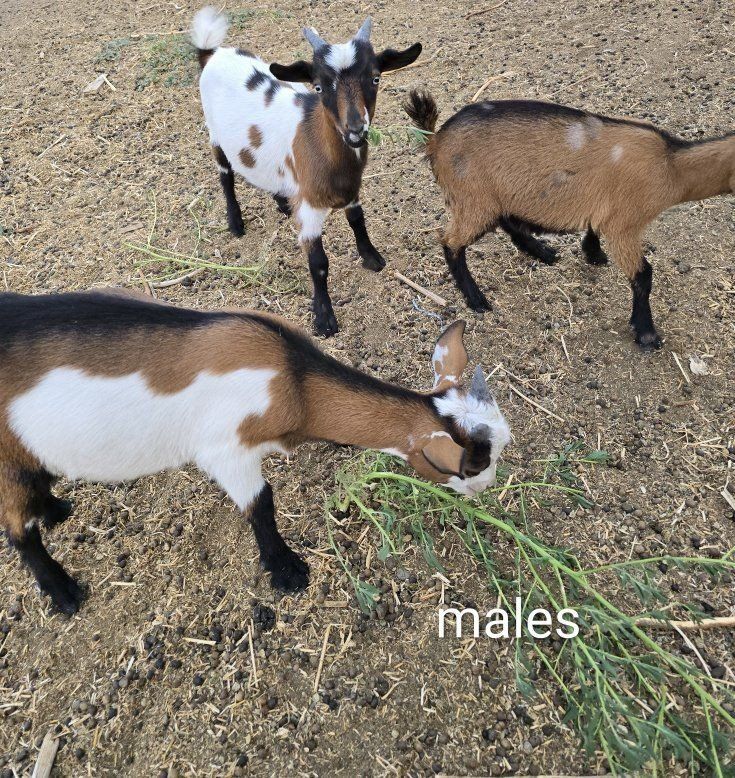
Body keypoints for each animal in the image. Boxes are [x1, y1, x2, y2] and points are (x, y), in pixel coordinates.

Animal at [0, 290, 510, 615]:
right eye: (472, 465)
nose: (488, 488)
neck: (295, 381)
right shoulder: (227, 449)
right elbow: (261, 505)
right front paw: (286, 571)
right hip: (8, 458)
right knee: (16, 529)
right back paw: (63, 591)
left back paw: (54, 509)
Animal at [191, 7, 422, 337]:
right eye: (319, 86)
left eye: (375, 78)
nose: (355, 129)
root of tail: (213, 53)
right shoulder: (312, 207)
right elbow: (319, 263)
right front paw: (324, 319)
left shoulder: (351, 190)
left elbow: (357, 220)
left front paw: (372, 257)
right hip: (215, 135)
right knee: (225, 176)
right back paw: (235, 223)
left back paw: (283, 201)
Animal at [404, 90, 735, 349]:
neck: (670, 166)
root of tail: (435, 140)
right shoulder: (624, 225)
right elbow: (643, 276)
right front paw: (647, 334)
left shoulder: (604, 211)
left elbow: (593, 229)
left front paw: (593, 254)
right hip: (473, 198)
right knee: (451, 241)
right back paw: (476, 299)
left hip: (498, 194)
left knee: (507, 220)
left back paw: (542, 251)